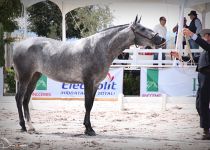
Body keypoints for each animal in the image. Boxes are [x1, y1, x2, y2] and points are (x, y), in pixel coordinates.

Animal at [13, 15, 165, 135]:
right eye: (142, 29)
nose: (162, 39)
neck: (99, 48)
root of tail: (19, 45)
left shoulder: (96, 84)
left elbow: (91, 105)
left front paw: (89, 128)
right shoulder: (88, 81)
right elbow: (86, 104)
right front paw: (88, 129)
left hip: (35, 76)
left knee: (26, 100)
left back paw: (31, 127)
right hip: (25, 77)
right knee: (19, 98)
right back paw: (23, 126)